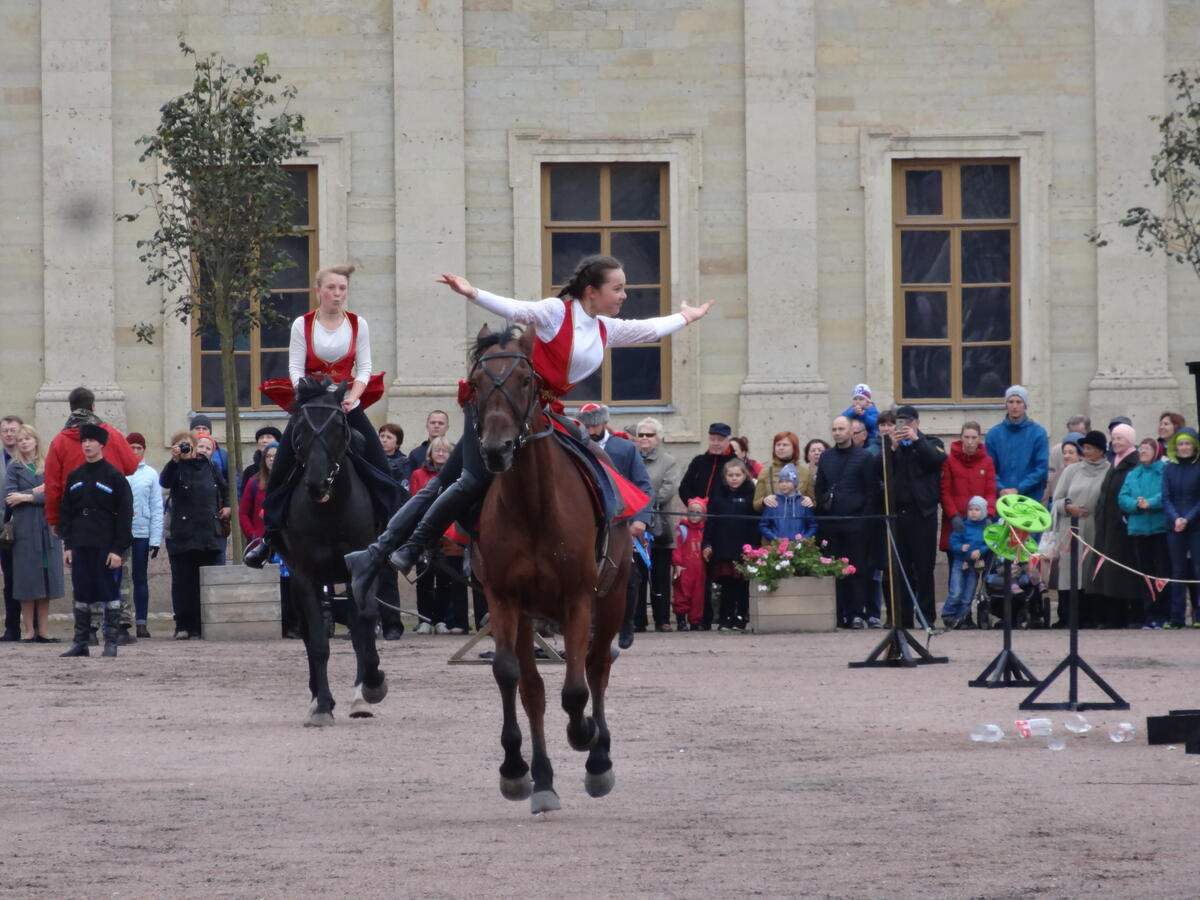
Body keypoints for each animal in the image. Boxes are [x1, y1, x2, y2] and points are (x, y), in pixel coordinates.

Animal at [274, 379, 386, 724]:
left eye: (338, 425)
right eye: (299, 427)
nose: (316, 483)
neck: (332, 510)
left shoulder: (363, 567)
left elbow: (364, 623)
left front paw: (371, 686)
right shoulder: (304, 576)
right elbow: (319, 643)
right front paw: (323, 704)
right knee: (309, 635)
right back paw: (316, 698)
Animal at [465, 326, 628, 816]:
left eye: (524, 379)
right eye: (476, 383)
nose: (496, 449)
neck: (532, 507)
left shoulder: (579, 598)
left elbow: (576, 688)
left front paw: (586, 736)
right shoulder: (505, 599)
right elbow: (510, 676)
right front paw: (517, 770)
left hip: (613, 598)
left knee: (596, 667)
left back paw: (598, 753)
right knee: (533, 689)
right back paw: (541, 778)